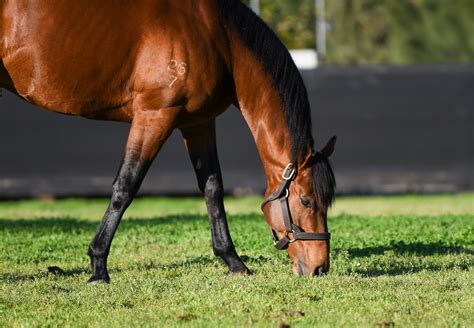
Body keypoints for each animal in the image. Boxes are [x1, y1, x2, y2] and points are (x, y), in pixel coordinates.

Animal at [2, 0, 336, 282]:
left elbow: (212, 188)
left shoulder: (198, 123)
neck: (218, 37)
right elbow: (126, 186)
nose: (320, 268)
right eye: (306, 201)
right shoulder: (154, 115)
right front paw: (98, 266)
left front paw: (233, 261)